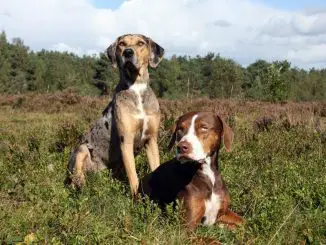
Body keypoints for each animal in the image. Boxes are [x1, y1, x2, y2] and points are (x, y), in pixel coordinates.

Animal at [66, 33, 164, 196]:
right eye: (122, 44)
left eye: (141, 43)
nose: (128, 52)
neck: (136, 87)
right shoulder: (126, 140)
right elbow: (133, 176)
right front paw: (136, 198)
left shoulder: (151, 140)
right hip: (81, 149)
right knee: (76, 178)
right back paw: (81, 186)